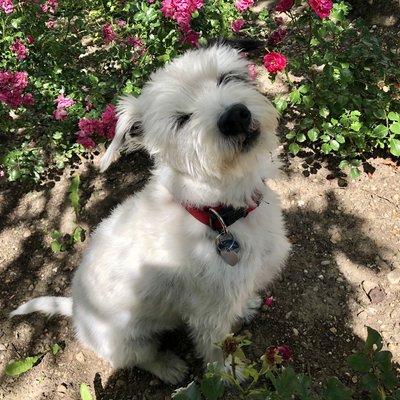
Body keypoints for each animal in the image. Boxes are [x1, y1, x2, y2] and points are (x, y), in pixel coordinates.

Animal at [10, 42, 291, 384]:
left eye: (227, 77)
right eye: (181, 120)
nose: (235, 117)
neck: (215, 211)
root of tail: (74, 309)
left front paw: (247, 305)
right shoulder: (208, 315)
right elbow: (217, 349)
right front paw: (229, 374)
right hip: (128, 343)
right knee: (141, 358)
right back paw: (169, 366)